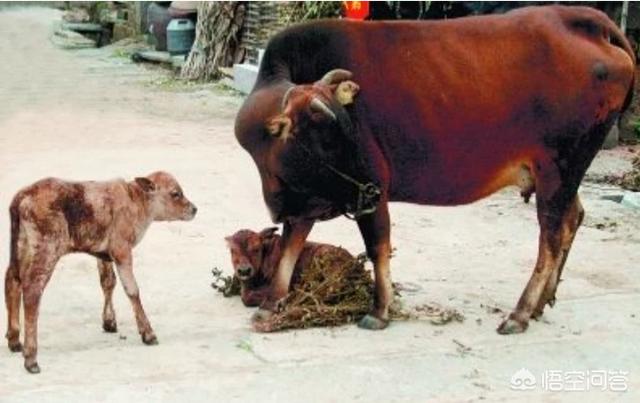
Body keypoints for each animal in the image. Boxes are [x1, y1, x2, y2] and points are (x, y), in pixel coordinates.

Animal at [4, 172, 198, 374]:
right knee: (32, 291)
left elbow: (108, 282)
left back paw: (14, 340)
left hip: (21, 248)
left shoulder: (104, 254)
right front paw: (148, 333)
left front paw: (109, 322)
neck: (135, 200)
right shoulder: (122, 250)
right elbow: (132, 290)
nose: (194, 209)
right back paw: (31, 358)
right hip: (46, 250)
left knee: (12, 281)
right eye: (175, 193)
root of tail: (24, 195)